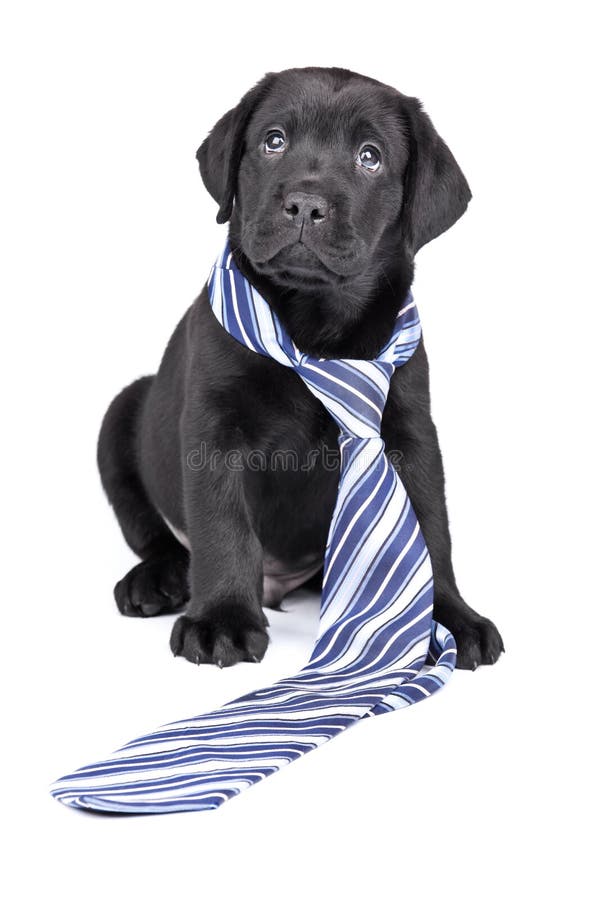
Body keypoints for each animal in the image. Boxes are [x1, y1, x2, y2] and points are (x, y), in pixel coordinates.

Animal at [97, 68, 502, 668]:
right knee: (156, 532)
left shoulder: (411, 431)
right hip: (121, 414)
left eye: (369, 156)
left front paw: (451, 617)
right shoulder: (214, 427)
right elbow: (222, 524)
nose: (306, 205)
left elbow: (432, 527)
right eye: (274, 141)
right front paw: (221, 620)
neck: (317, 326)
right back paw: (157, 581)